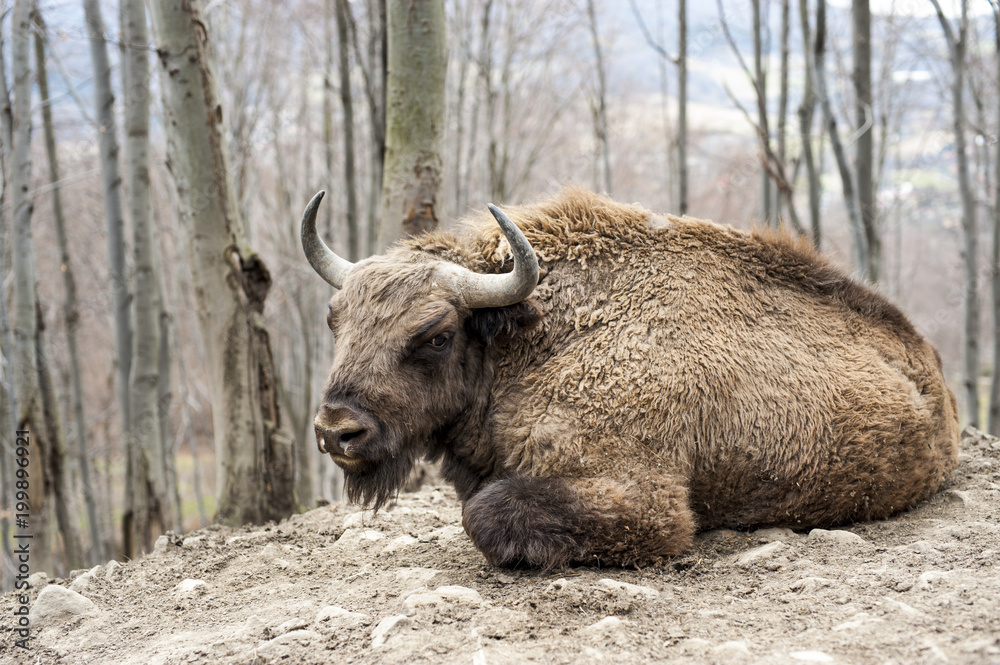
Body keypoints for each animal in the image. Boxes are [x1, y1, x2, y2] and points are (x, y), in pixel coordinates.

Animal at [302, 188, 959, 569]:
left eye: (436, 335)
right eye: (334, 319)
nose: (337, 431)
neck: (535, 339)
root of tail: (928, 360)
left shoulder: (642, 499)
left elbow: (486, 515)